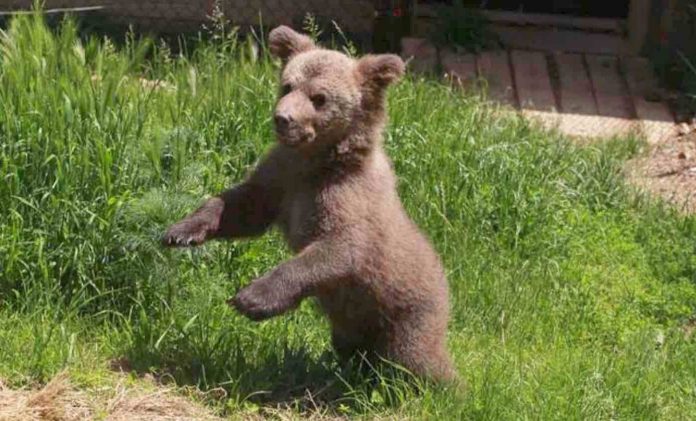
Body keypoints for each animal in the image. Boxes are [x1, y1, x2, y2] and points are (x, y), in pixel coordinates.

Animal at [162, 25, 456, 383]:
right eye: (287, 85)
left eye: (319, 98)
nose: (282, 118)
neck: (317, 162)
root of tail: (446, 286)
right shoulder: (282, 180)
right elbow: (243, 207)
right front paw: (181, 231)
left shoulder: (345, 198)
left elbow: (337, 248)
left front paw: (251, 298)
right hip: (355, 323)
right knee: (354, 349)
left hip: (406, 311)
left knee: (416, 359)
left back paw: (445, 387)